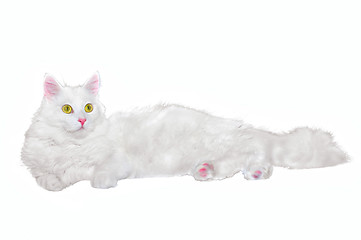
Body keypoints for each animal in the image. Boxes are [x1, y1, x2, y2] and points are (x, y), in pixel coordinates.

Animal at [21, 73, 348, 191]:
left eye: (88, 108)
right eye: (67, 109)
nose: (81, 121)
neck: (72, 145)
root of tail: (243, 126)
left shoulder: (116, 160)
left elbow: (97, 172)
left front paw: (100, 183)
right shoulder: (39, 165)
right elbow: (46, 178)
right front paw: (55, 183)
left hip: (226, 142)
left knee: (254, 155)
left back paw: (243, 172)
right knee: (245, 160)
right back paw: (210, 171)